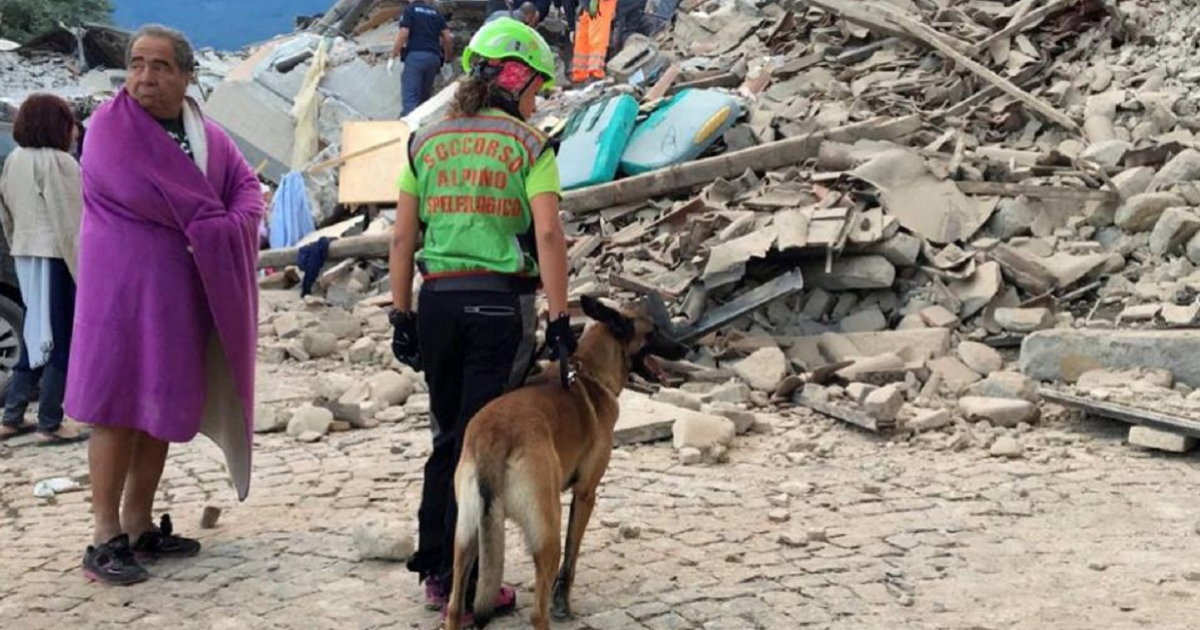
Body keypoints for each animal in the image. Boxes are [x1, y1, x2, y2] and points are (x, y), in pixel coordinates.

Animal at [444, 296, 691, 628]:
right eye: (653, 331)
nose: (684, 349)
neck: (588, 371)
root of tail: (493, 437)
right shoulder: (585, 493)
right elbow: (571, 557)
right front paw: (563, 602)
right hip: (547, 531)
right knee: (538, 611)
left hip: (467, 537)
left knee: (455, 606)